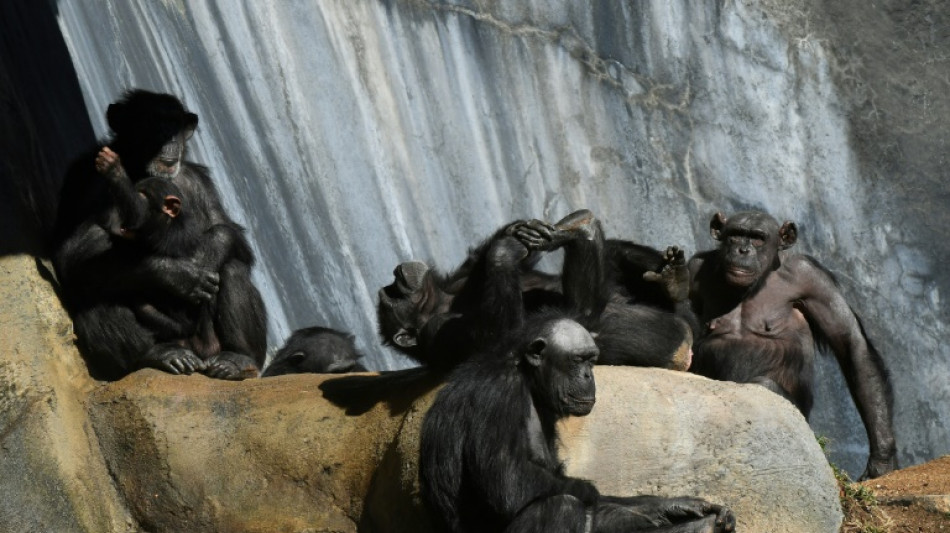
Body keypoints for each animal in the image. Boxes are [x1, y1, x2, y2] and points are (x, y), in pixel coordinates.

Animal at [53, 89, 268, 380]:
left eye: (174, 124)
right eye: (153, 122)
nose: (169, 138)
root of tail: (198, 356)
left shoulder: (197, 180)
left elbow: (228, 230)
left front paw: (206, 255)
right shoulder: (82, 177)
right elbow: (71, 254)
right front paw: (178, 275)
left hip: (211, 345)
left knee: (233, 268)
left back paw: (236, 358)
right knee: (95, 289)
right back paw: (160, 354)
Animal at [380, 208, 700, 370]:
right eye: (393, 295)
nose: (394, 276)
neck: (441, 302)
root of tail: (687, 350)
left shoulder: (459, 279)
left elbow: (483, 262)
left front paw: (519, 231)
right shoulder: (436, 332)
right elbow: (499, 338)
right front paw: (504, 251)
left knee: (614, 250)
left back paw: (675, 280)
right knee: (581, 317)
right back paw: (583, 229)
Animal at [420, 312, 740, 532]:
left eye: (592, 359)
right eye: (578, 359)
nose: (589, 375)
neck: (526, 377)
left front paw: (672, 507)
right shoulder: (497, 395)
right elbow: (509, 483)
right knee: (560, 505)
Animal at [688, 211, 896, 478]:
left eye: (758, 238)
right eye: (734, 234)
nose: (742, 249)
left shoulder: (811, 278)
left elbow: (850, 340)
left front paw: (882, 459)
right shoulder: (694, 268)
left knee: (764, 385)